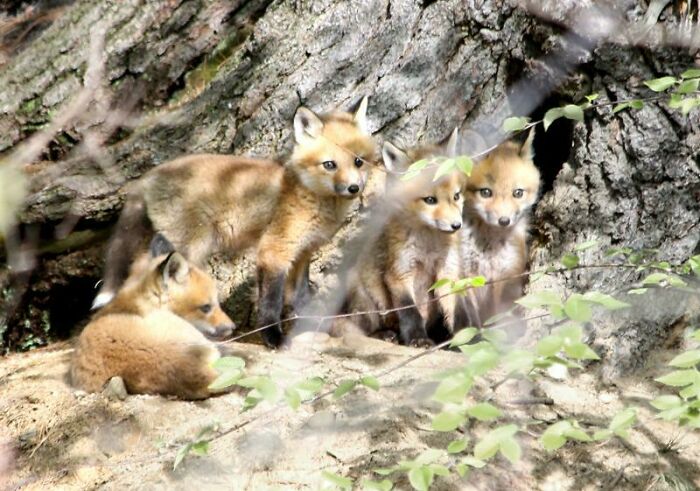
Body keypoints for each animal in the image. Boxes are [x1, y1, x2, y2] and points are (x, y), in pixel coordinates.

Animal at [92, 98, 376, 348]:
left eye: (358, 161)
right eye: (329, 165)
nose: (354, 188)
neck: (306, 195)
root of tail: (148, 176)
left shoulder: (302, 254)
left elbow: (301, 298)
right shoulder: (273, 252)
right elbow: (270, 303)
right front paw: (273, 339)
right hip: (189, 249)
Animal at [339, 130, 468, 346]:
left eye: (456, 196)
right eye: (430, 200)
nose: (456, 225)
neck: (428, 246)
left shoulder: (447, 270)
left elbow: (456, 309)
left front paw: (468, 338)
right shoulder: (399, 272)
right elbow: (410, 311)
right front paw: (418, 338)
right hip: (364, 298)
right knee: (360, 330)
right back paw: (383, 335)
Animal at [459, 130, 540, 325]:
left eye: (518, 193)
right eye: (486, 192)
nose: (504, 220)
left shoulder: (506, 274)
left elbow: (499, 316)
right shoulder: (467, 274)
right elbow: (474, 320)